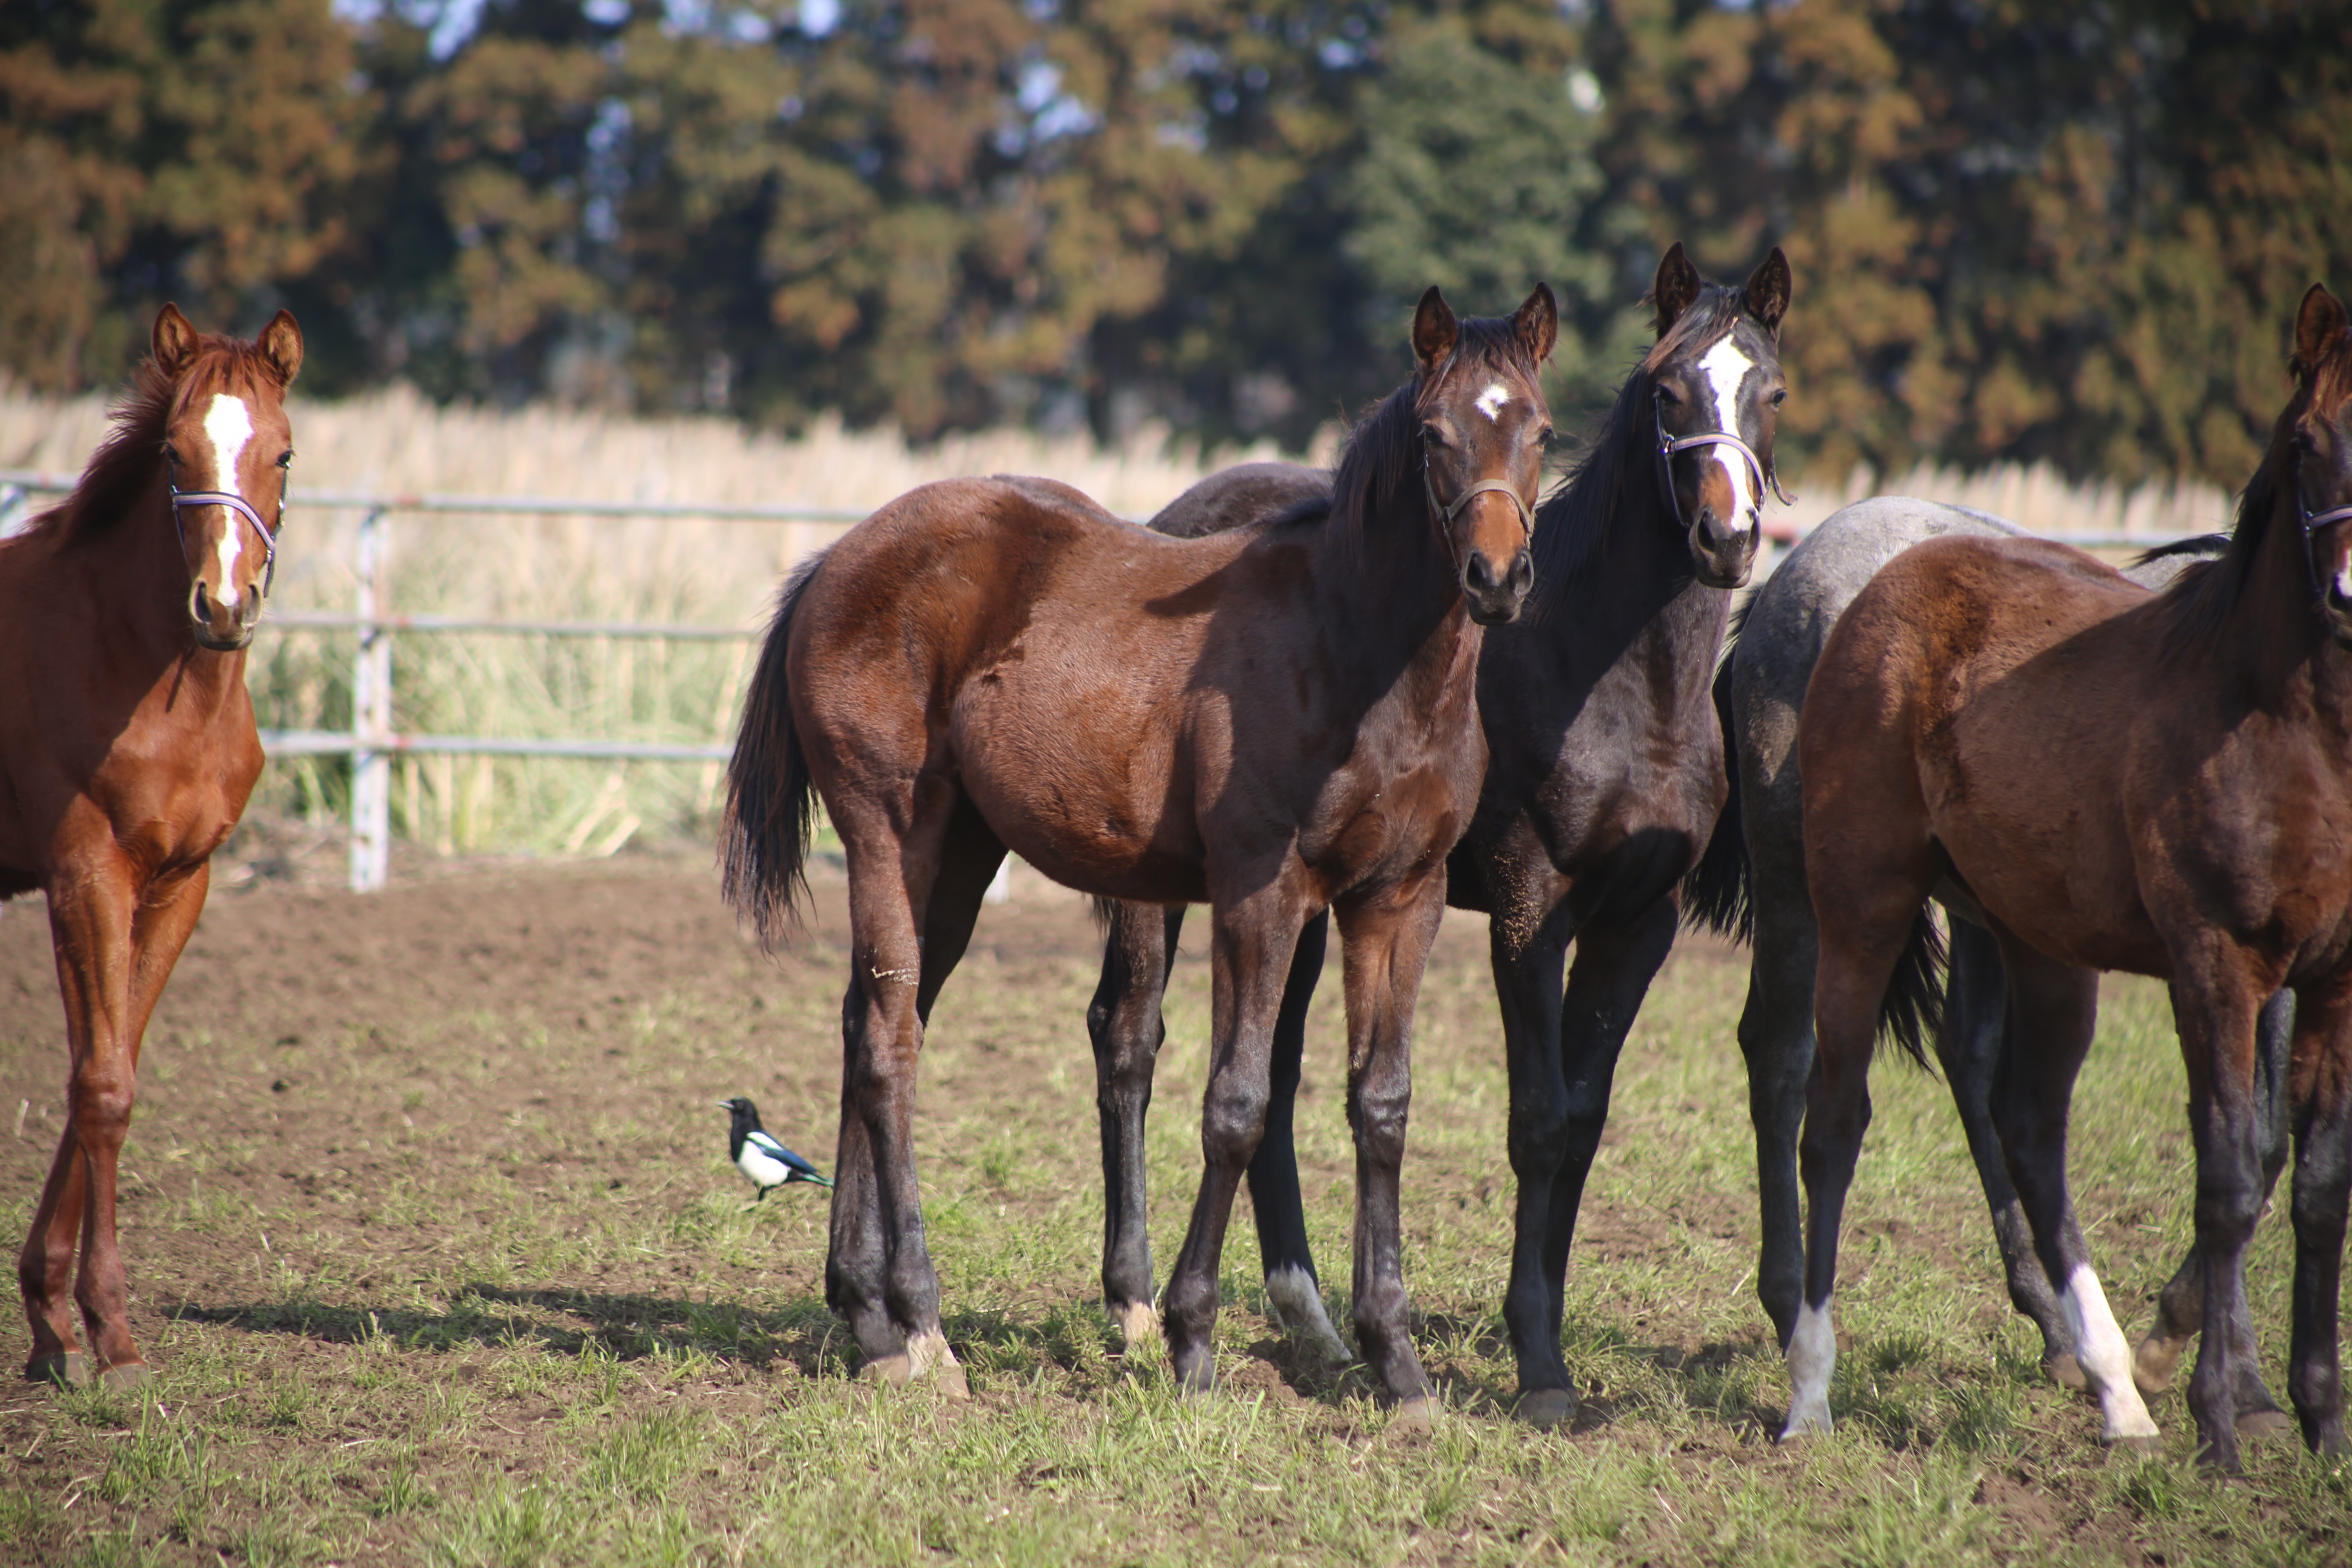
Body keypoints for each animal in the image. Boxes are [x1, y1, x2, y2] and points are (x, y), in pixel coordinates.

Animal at [1, 303, 303, 1382]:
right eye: (176, 452)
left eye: (284, 454)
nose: (224, 605)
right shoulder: (86, 875)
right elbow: (102, 1083)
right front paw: (111, 1330)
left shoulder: (178, 883)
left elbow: (106, 1061)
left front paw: (56, 1318)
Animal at [719, 282, 1561, 1410]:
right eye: (1434, 434)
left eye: (1541, 431)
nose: (1498, 576)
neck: (1360, 656)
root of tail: (834, 560)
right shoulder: (1260, 892)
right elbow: (1237, 1104)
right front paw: (1190, 1341)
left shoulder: (1399, 898)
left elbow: (1380, 1107)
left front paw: (1397, 1365)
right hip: (887, 831)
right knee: (893, 1044)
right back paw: (923, 1324)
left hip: (962, 854)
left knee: (870, 1023)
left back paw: (866, 1315)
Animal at [1787, 285, 2352, 1476]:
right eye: (2307, 440)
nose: (2345, 593)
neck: (2290, 725)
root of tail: (1885, 584)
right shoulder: (2217, 966)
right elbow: (2229, 1172)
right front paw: (2223, 1418)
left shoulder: (2333, 977)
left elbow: (2319, 1182)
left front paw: (2321, 1424)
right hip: (1859, 909)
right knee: (1833, 1117)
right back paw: (1808, 1393)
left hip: (2040, 946)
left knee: (2029, 1123)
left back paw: (2110, 1388)